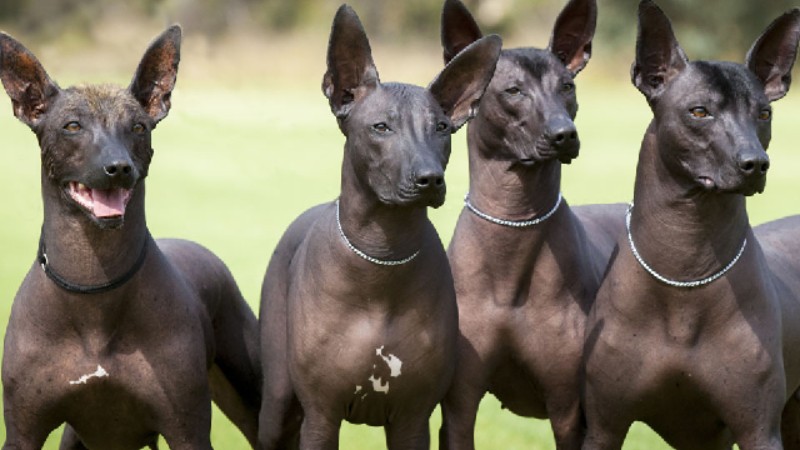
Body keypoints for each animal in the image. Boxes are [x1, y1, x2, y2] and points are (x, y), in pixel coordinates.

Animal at [0, 26, 260, 448]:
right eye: (72, 126)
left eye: (138, 127)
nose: (118, 167)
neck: (94, 289)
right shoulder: (23, 431)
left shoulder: (187, 430)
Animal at [256, 4, 500, 450]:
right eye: (381, 127)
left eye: (441, 128)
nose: (430, 179)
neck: (382, 257)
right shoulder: (321, 417)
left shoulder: (412, 419)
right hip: (278, 404)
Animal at [580, 1, 800, 448]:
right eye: (699, 111)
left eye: (764, 113)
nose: (756, 164)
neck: (686, 265)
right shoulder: (603, 427)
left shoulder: (758, 430)